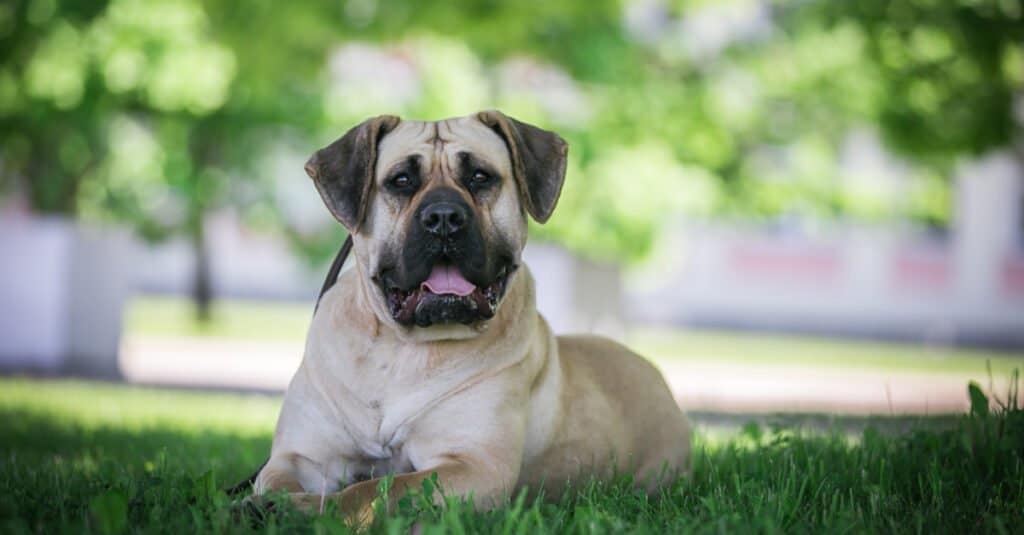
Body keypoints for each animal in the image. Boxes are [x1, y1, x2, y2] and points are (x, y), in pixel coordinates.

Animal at [251, 109, 692, 520]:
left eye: (480, 176)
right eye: (401, 180)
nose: (444, 217)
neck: (401, 350)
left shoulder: (474, 466)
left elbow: (376, 489)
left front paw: (311, 510)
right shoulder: (300, 457)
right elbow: (278, 484)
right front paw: (270, 505)